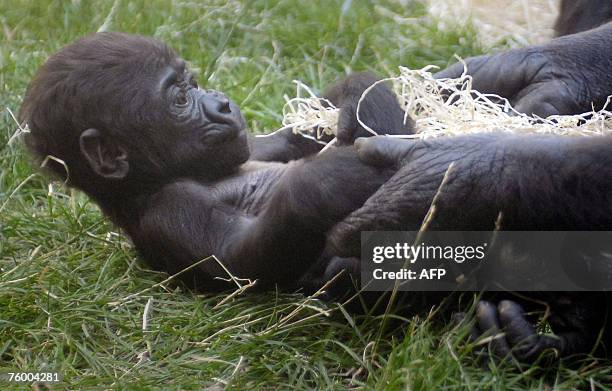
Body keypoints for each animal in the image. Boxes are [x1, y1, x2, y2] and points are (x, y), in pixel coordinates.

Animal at [19, 33, 414, 290]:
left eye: (192, 83)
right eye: (180, 98)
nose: (222, 103)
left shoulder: (248, 147)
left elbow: (294, 134)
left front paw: (363, 98)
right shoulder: (167, 208)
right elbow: (241, 258)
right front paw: (330, 180)